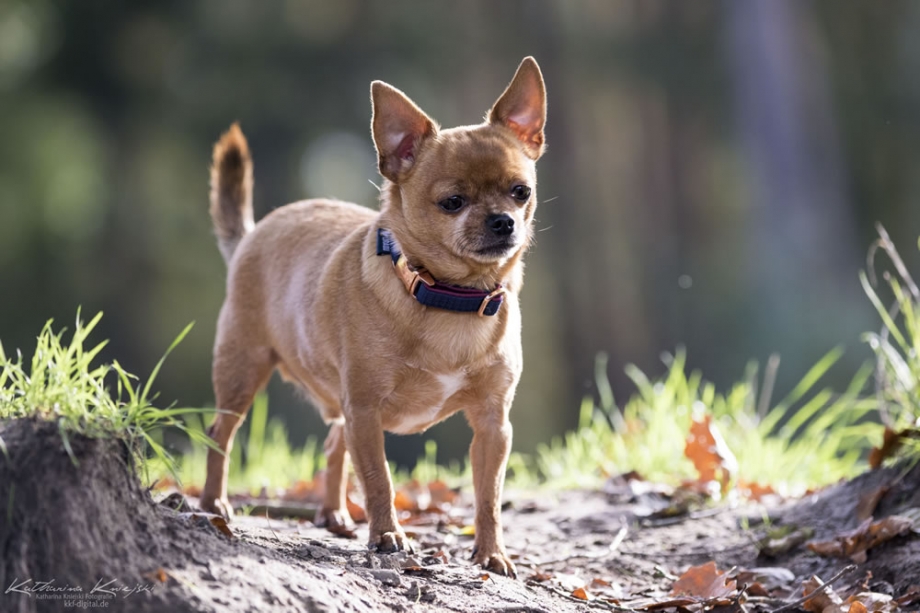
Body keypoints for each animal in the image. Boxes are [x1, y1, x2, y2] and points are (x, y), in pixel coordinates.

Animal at [201, 56, 548, 572]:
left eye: (520, 192)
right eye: (452, 202)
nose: (503, 221)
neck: (451, 296)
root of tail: (250, 235)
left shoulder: (492, 424)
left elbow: (488, 496)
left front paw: (492, 553)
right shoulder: (366, 411)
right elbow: (378, 477)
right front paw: (388, 535)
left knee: (332, 444)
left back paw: (333, 514)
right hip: (243, 369)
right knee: (220, 432)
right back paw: (213, 503)